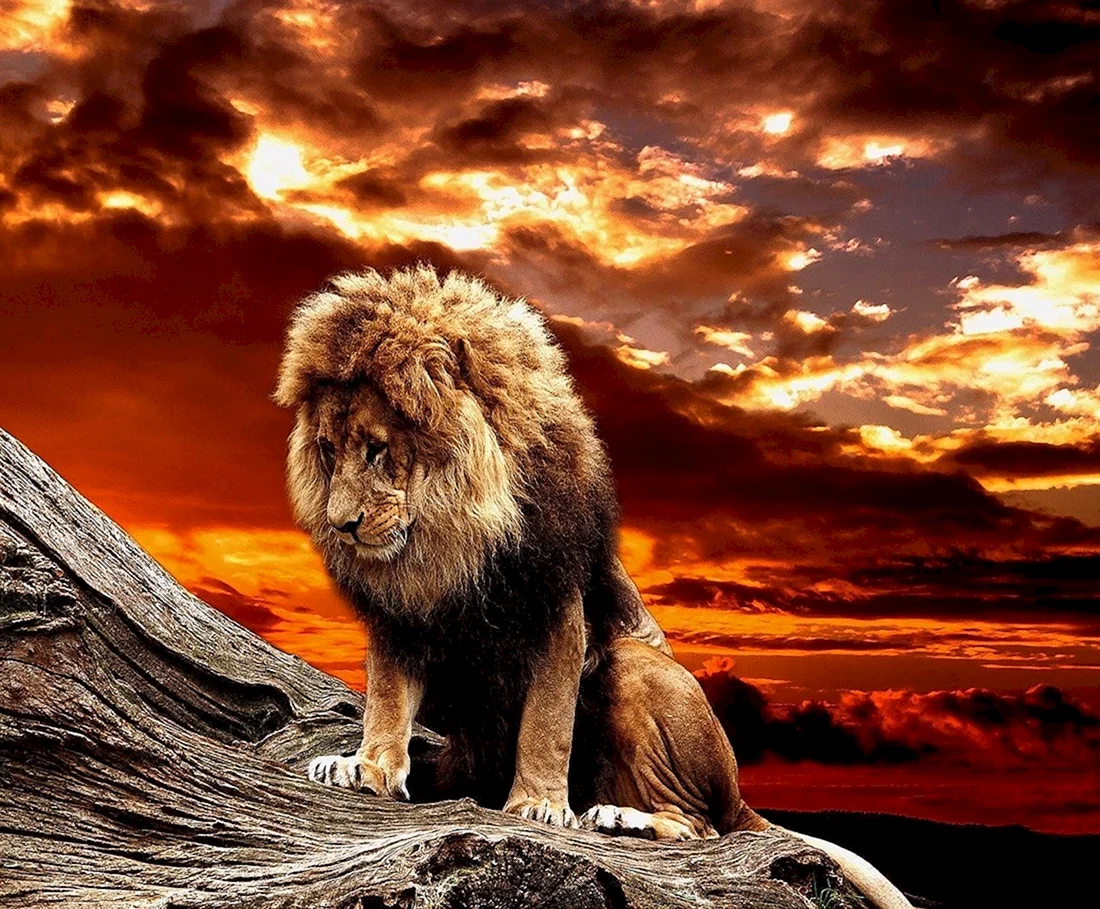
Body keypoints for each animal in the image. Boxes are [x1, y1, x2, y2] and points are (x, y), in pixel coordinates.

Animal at [274, 266, 913, 909]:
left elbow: (548, 719)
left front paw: (536, 804)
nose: (341, 525)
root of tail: (739, 793)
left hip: (631, 669)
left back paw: (616, 817)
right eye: (328, 451)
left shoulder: (558, 602)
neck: (451, 537)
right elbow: (387, 697)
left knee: (701, 826)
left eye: (378, 449)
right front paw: (368, 767)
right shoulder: (401, 618)